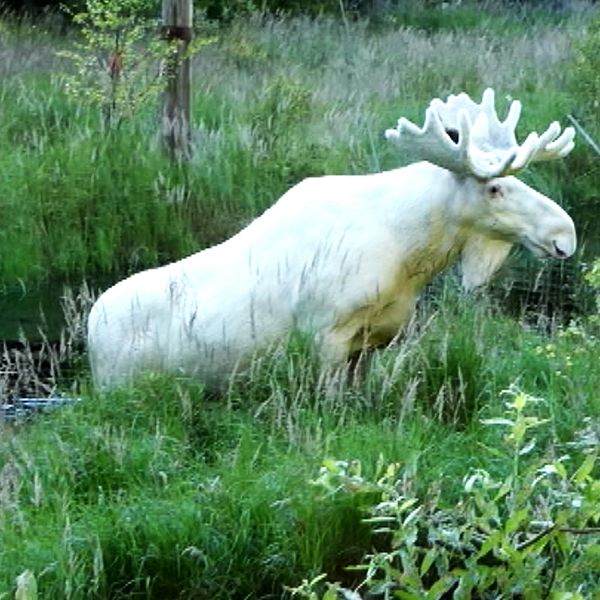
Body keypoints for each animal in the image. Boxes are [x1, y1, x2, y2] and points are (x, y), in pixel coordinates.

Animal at [88, 89, 576, 390]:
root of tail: (89, 332)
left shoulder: (372, 341)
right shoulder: (325, 335)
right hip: (121, 387)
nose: (564, 234)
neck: (411, 254)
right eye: (494, 188)